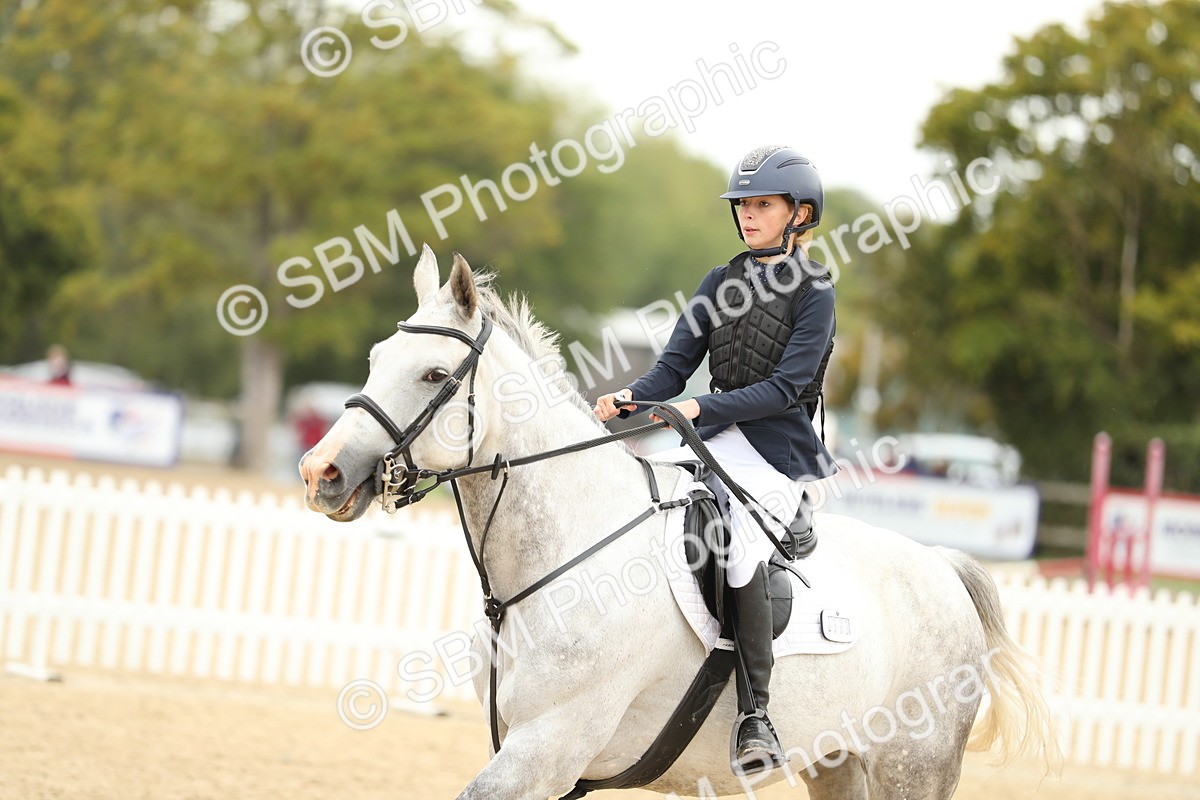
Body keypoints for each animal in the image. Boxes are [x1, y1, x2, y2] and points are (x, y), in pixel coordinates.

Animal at [298, 246, 1057, 800]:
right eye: (375, 360)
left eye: (433, 375)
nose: (319, 472)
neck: (571, 550)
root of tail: (940, 568)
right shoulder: (545, 760)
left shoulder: (546, 749)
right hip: (840, 762)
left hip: (913, 766)